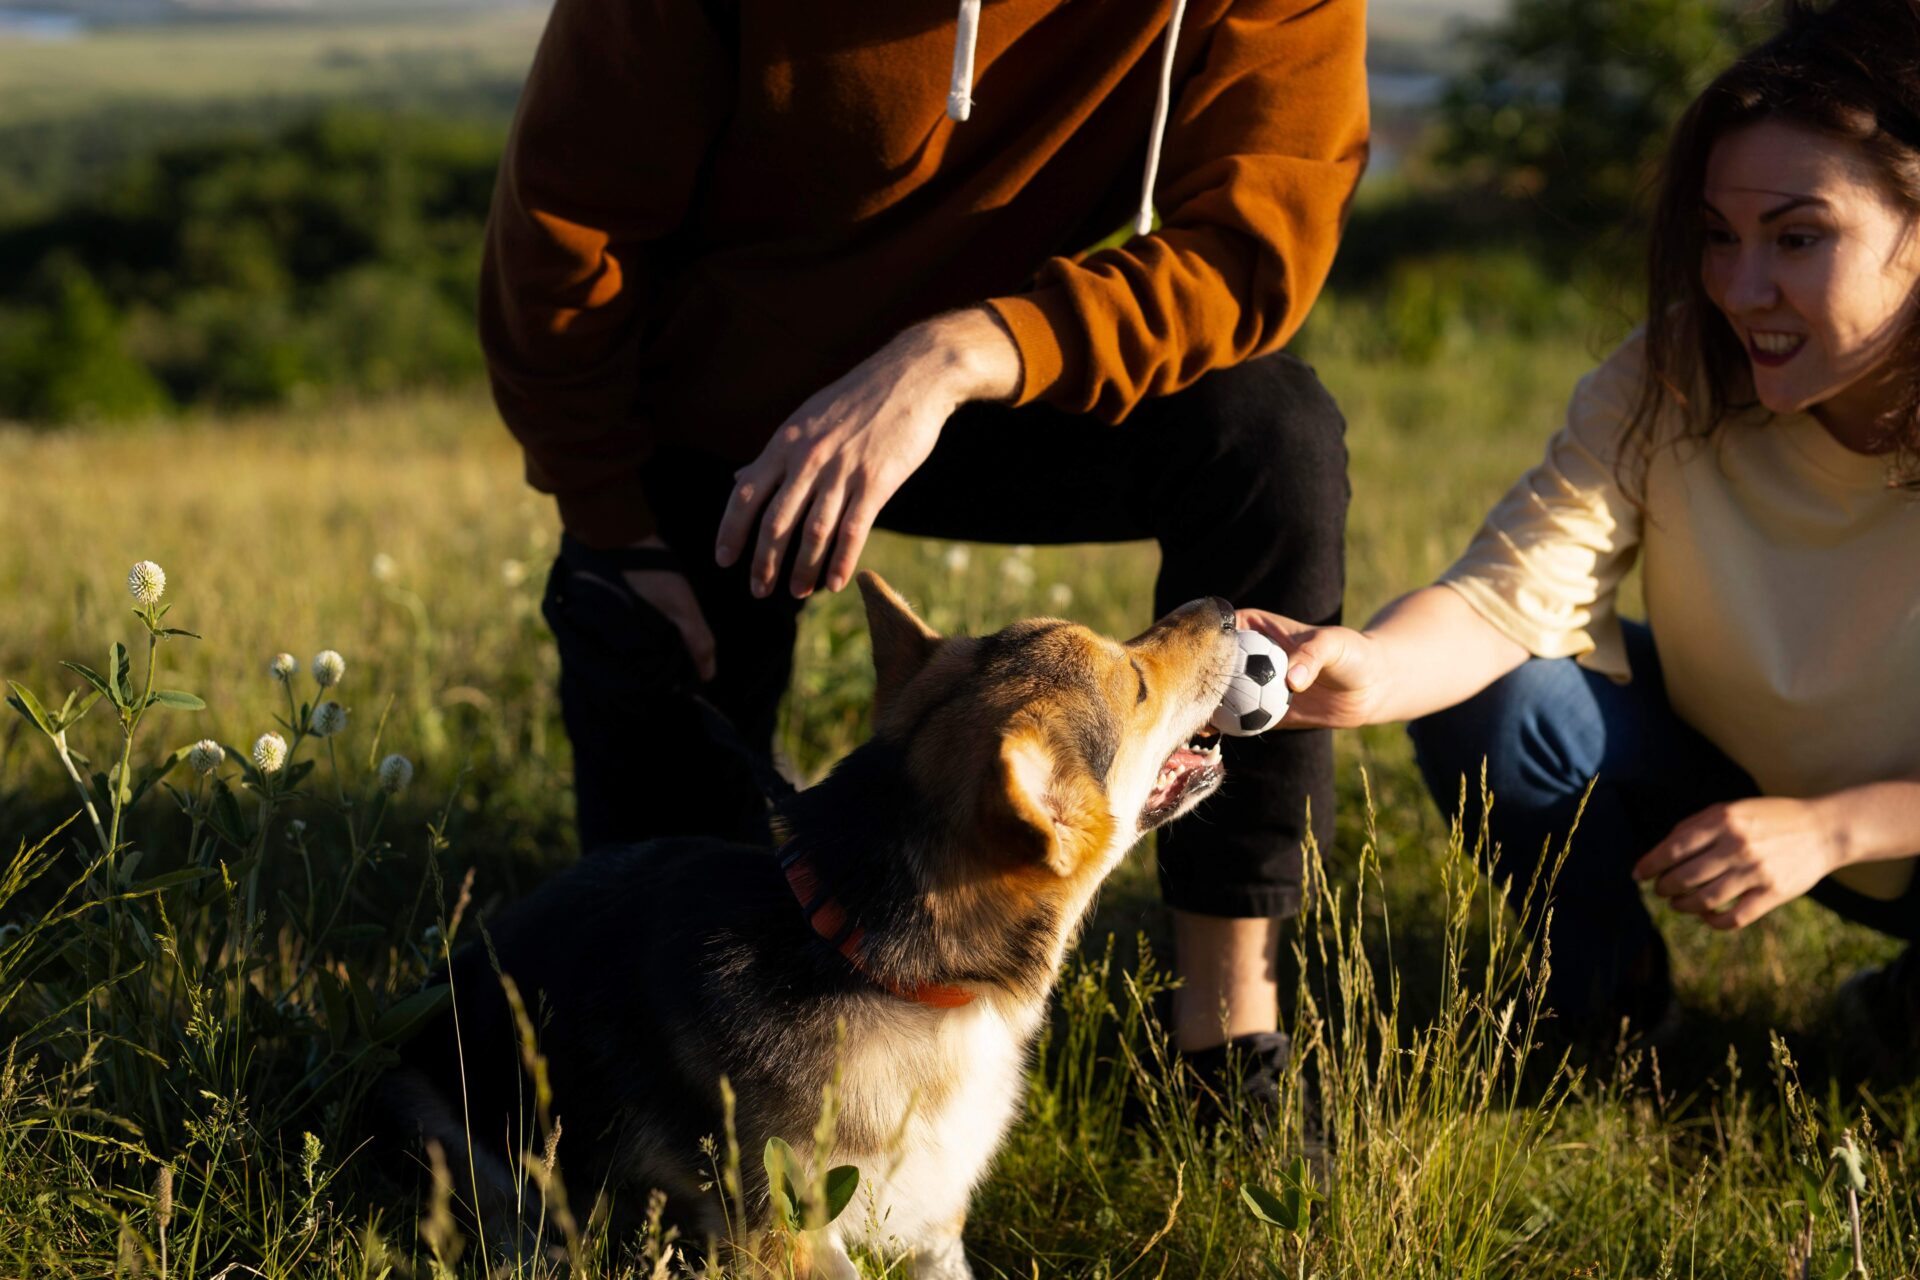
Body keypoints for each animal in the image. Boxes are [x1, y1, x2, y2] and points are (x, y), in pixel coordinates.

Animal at [382, 571, 1236, 1280]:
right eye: (1136, 684)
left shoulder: (936, 1225)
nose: (1224, 607)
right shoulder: (785, 1234)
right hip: (451, 1128)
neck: (879, 966)